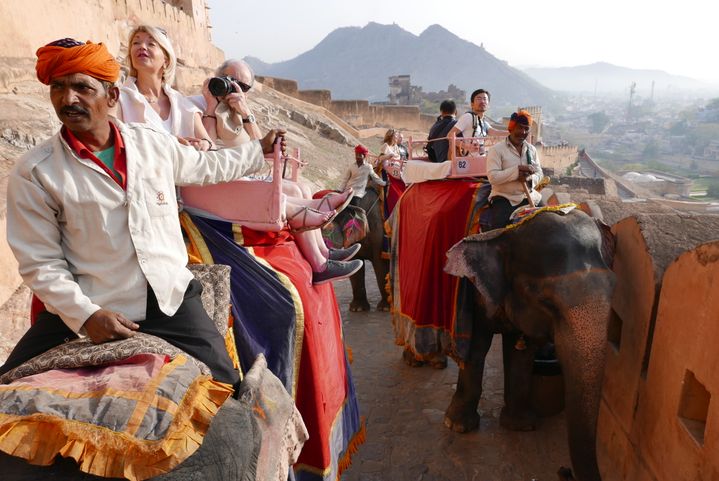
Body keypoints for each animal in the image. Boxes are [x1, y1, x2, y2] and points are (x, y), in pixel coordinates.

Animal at [448, 208, 616, 480]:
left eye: (614, 288)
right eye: (546, 302)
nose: (564, 471)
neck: (508, 230)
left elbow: (521, 353)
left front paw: (522, 426)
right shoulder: (475, 291)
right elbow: (477, 347)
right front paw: (458, 426)